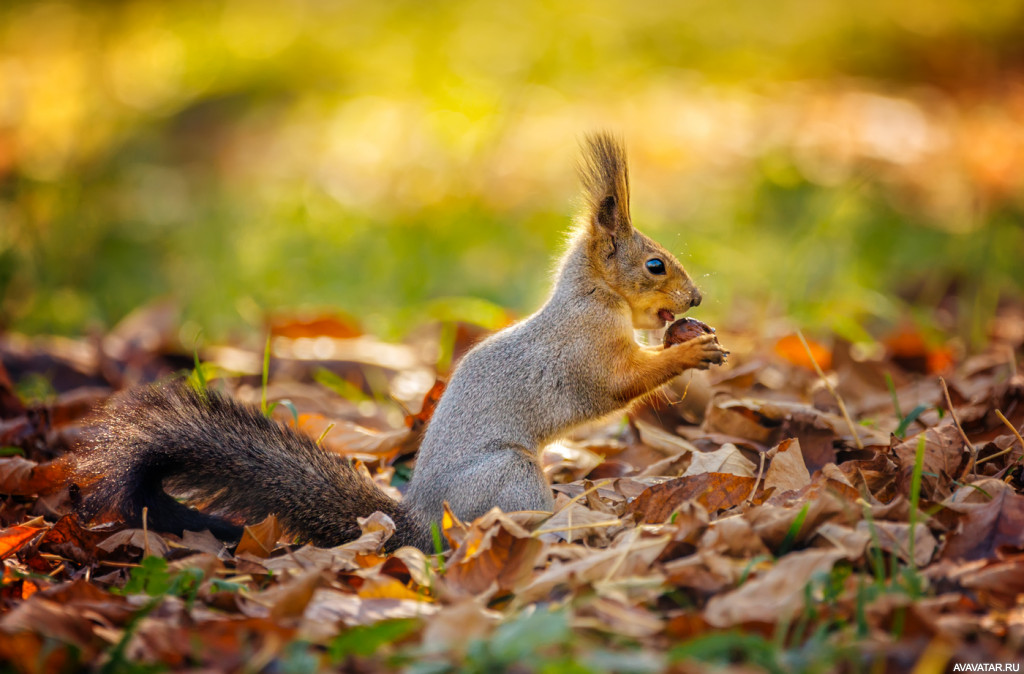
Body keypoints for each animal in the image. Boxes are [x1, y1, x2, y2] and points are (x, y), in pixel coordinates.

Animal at [74, 132, 729, 553]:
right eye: (654, 265)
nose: (697, 299)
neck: (592, 298)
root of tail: (421, 525)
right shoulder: (587, 350)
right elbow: (621, 384)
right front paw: (689, 352)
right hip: (507, 475)